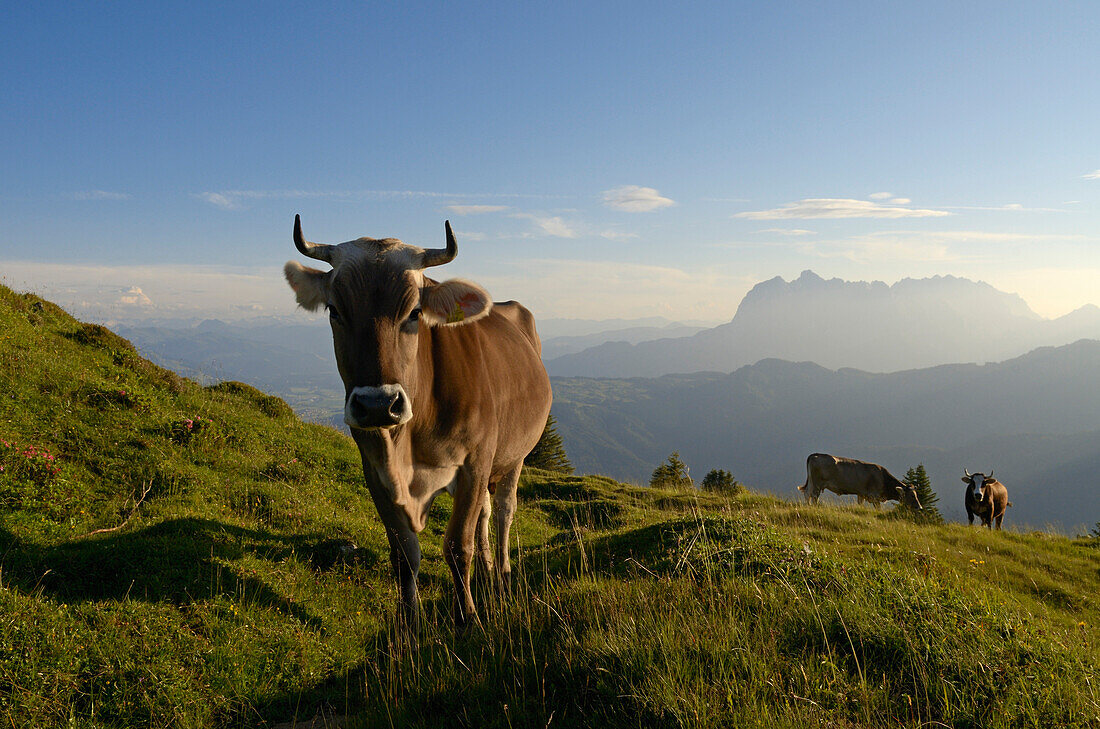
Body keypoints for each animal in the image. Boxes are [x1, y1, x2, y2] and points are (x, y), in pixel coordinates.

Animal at [281, 215, 550, 628]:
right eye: (334, 311)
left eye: (414, 313)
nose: (377, 405)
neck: (408, 445)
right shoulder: (374, 470)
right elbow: (404, 553)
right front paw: (409, 621)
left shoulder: (474, 462)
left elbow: (457, 545)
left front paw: (467, 616)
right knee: (487, 512)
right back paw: (488, 569)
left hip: (514, 454)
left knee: (505, 510)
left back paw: (502, 574)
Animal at [796, 453, 924, 510]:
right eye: (912, 495)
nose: (920, 507)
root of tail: (815, 454)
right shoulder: (874, 496)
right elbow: (878, 509)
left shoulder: (861, 494)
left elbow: (860, 504)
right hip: (817, 483)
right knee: (814, 496)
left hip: (812, 482)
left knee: (807, 494)